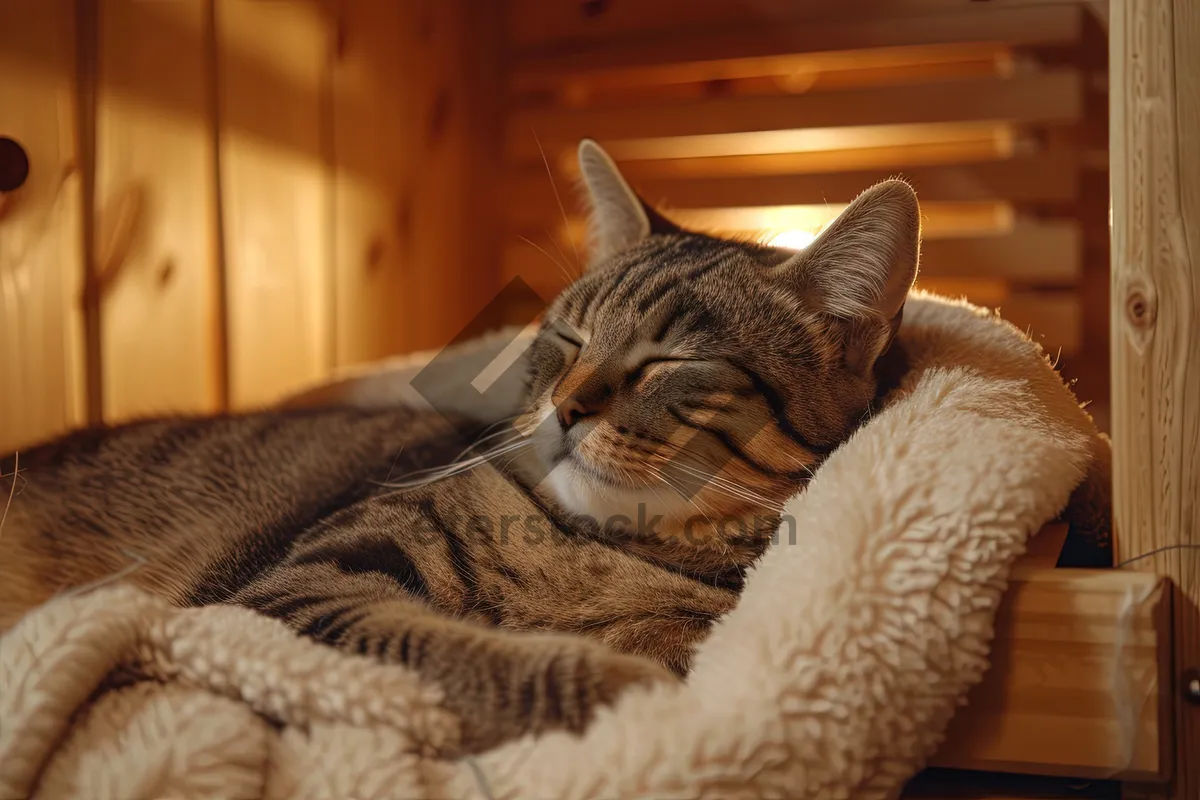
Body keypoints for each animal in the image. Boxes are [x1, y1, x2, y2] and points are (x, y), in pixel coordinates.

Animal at [0, 139, 916, 758]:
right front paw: (619, 691)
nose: (565, 409)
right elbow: (444, 647)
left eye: (668, 361)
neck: (595, 551)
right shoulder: (298, 588)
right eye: (566, 337)